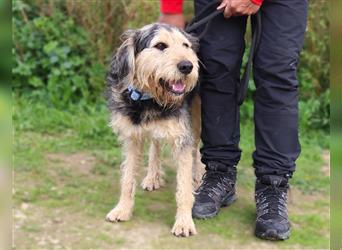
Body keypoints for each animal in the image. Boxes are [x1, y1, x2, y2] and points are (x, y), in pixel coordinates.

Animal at [105, 23, 204, 236]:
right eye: (160, 46)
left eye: (185, 45)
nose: (187, 66)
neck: (149, 100)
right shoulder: (132, 138)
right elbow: (127, 179)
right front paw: (122, 209)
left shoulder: (182, 137)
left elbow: (184, 189)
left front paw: (184, 222)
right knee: (155, 144)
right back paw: (152, 176)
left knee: (197, 147)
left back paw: (198, 173)